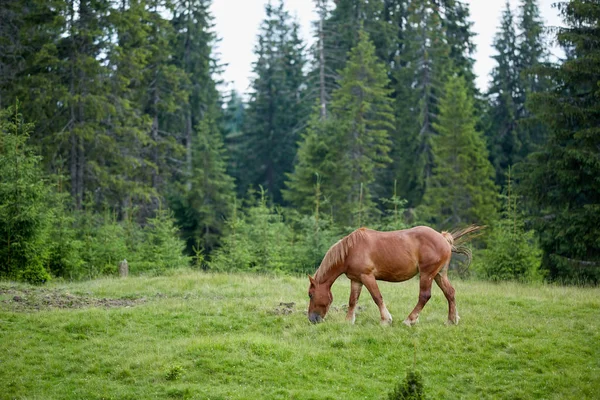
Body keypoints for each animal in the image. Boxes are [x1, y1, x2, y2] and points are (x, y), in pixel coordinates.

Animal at [310, 225, 482, 324]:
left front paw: (386, 320)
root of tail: (443, 238)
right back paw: (451, 320)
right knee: (450, 293)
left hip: (427, 274)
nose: (312, 319)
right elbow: (353, 301)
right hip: (439, 275)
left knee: (424, 296)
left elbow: (377, 297)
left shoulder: (367, 277)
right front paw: (348, 321)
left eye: (310, 294)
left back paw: (409, 320)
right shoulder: (356, 279)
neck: (351, 249)